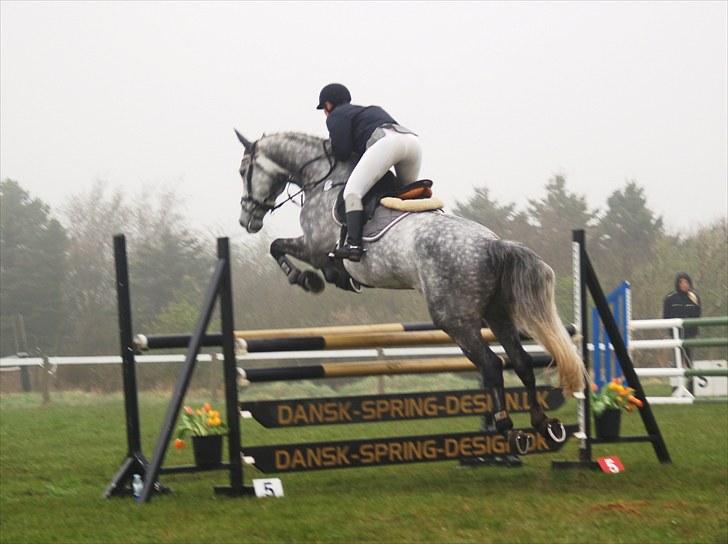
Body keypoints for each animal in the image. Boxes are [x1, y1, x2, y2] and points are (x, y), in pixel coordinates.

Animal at [235, 131, 584, 450]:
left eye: (242, 171)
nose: (246, 221)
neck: (322, 178)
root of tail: (493, 245)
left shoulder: (314, 248)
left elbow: (277, 247)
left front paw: (307, 279)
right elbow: (281, 248)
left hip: (455, 320)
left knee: (492, 365)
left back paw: (508, 429)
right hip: (496, 314)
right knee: (521, 361)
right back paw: (544, 425)